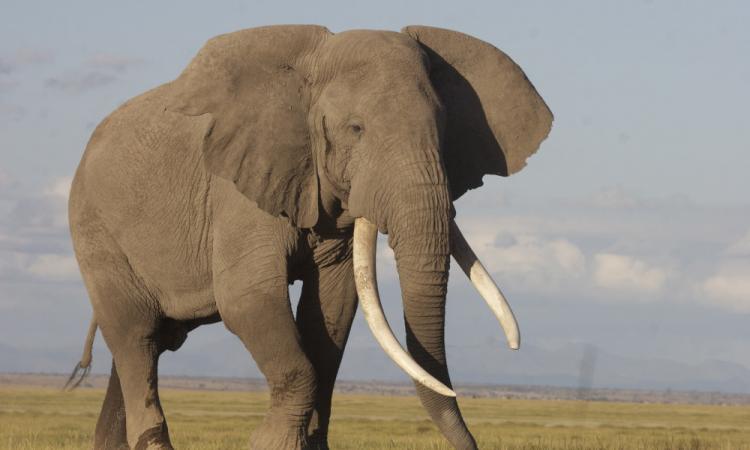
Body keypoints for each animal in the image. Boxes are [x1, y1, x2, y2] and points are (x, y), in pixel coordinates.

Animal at [66, 25, 552, 450]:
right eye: (355, 129)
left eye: (445, 128)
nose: (471, 442)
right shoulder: (239, 185)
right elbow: (247, 298)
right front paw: (269, 444)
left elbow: (333, 308)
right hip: (94, 228)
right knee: (136, 338)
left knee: (143, 345)